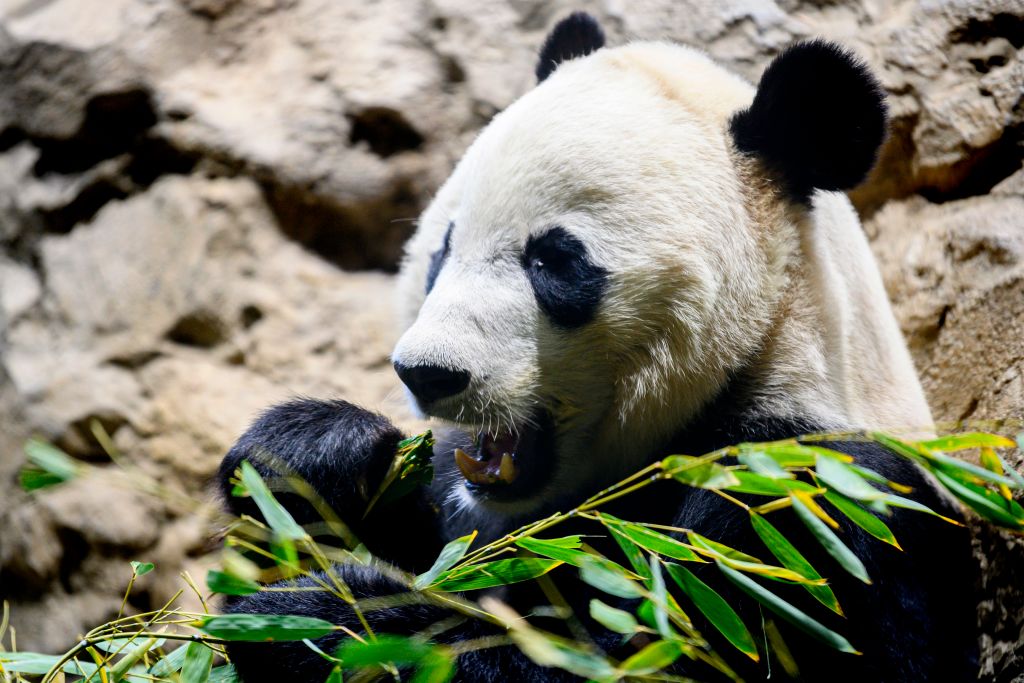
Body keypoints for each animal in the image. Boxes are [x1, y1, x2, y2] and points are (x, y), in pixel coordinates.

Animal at [218, 12, 977, 682]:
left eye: (555, 261)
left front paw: (318, 622)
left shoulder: (806, 499)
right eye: (441, 250)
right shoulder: (470, 508)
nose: (428, 374)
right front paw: (314, 454)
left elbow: (677, 652)